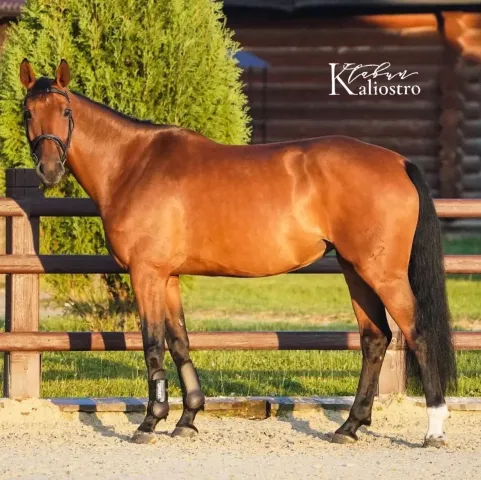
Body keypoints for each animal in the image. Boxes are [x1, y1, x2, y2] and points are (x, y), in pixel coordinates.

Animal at [19, 59, 456, 447]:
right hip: (355, 269)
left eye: (65, 111)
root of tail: (398, 162)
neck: (134, 164)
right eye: (28, 112)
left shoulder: (146, 273)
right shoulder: (168, 277)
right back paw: (349, 426)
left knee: (417, 333)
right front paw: (188, 419)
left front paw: (149, 422)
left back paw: (433, 430)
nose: (48, 170)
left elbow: (152, 343)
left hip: (382, 273)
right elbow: (180, 342)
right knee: (375, 338)